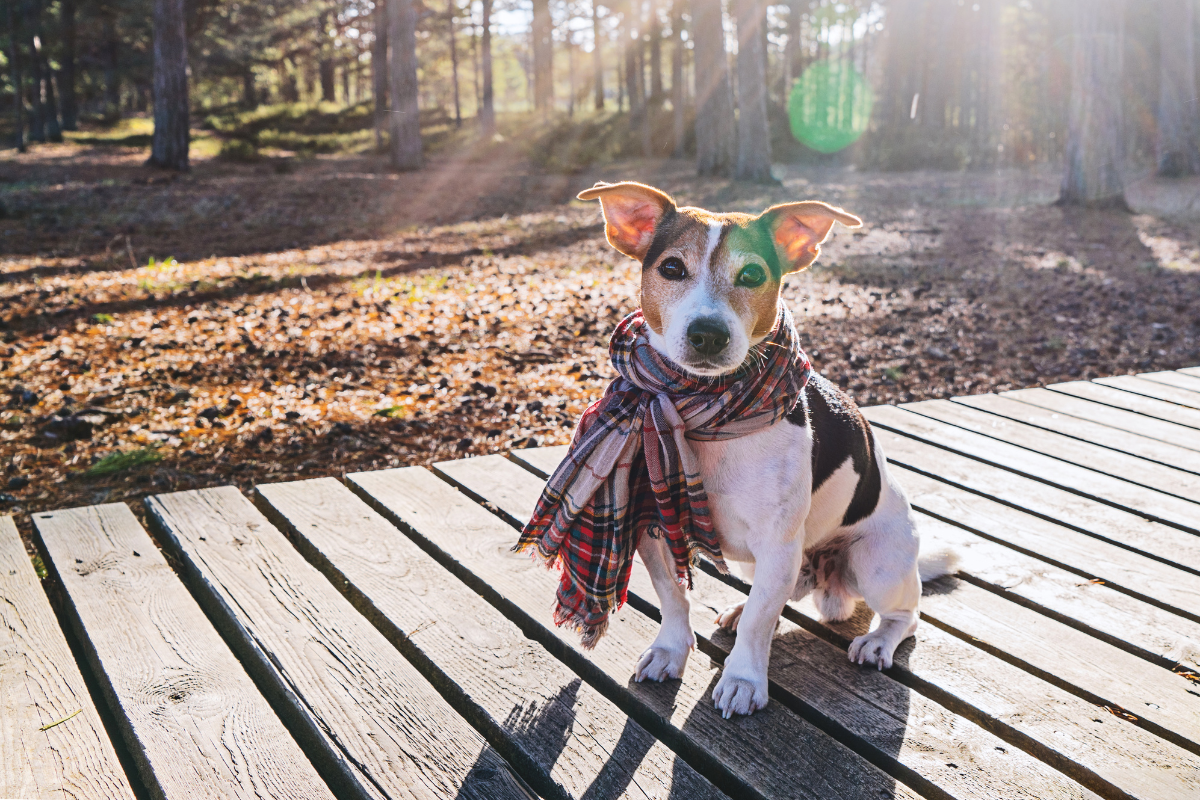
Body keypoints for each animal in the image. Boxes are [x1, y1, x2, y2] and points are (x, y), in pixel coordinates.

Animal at [576, 181, 960, 719]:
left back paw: (878, 641)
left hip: (877, 563)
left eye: (753, 274)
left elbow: (761, 620)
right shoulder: (655, 527)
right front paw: (671, 650)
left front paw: (742, 678)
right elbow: (674, 597)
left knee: (907, 615)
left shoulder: (778, 544)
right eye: (671, 268)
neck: (704, 410)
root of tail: (826, 580)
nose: (708, 334)